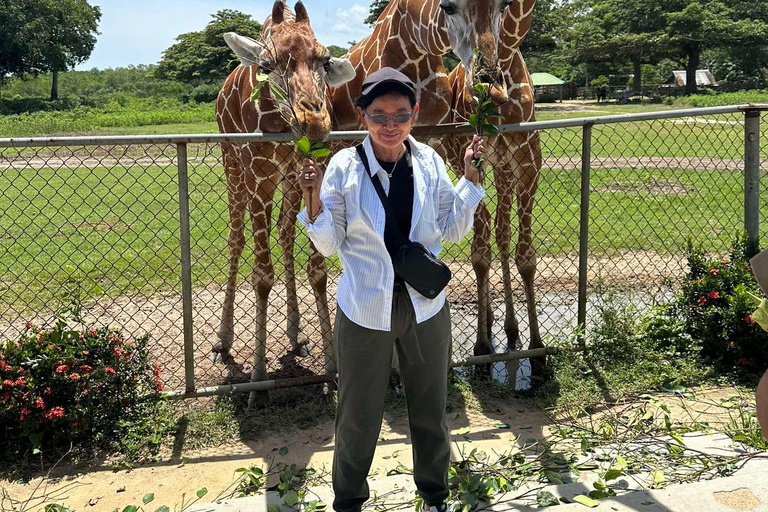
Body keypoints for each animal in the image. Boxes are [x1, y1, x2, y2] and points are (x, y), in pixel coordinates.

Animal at [214, 1, 356, 408]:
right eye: (266, 64)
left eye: (325, 61)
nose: (315, 122)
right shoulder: (259, 175)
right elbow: (262, 276)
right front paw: (259, 382)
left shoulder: (310, 168)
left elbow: (318, 270)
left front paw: (332, 367)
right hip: (232, 164)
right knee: (236, 239)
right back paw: (223, 340)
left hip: (289, 180)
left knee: (286, 232)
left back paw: (296, 333)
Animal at [448, 0, 544, 376]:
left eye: (506, 5)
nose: (489, 84)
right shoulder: (475, 156)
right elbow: (481, 252)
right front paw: (482, 346)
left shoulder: (527, 162)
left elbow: (526, 257)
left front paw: (536, 347)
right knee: (489, 231)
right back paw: (491, 327)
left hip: (505, 169)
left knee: (500, 232)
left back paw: (508, 328)